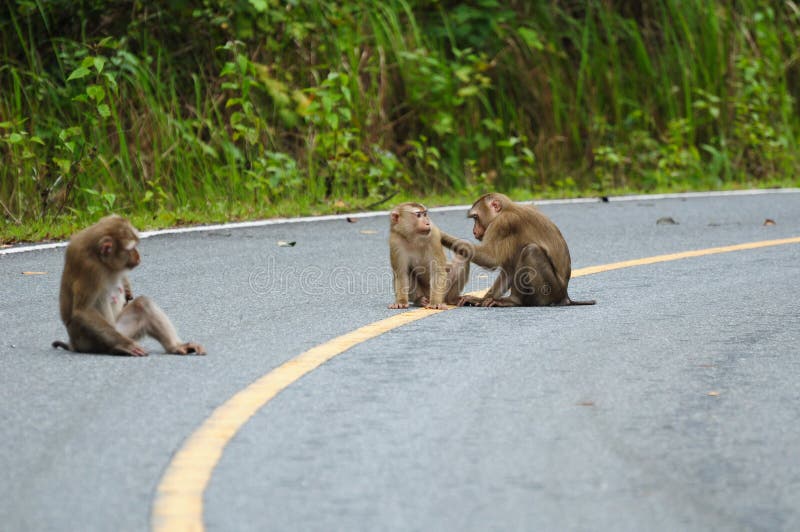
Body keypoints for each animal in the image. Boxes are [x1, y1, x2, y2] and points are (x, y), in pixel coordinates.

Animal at [51, 214, 205, 356]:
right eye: (130, 248)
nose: (138, 257)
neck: (99, 257)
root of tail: (73, 344)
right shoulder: (90, 269)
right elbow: (83, 311)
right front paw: (126, 345)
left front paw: (127, 287)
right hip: (90, 340)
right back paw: (118, 347)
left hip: (123, 330)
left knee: (143, 304)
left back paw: (175, 346)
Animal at [440, 192, 596, 308]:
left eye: (476, 217)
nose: (474, 231)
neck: (508, 208)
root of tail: (565, 296)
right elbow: (508, 269)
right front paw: (480, 300)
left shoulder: (502, 223)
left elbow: (490, 259)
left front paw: (441, 235)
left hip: (552, 290)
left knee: (531, 251)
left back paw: (515, 301)